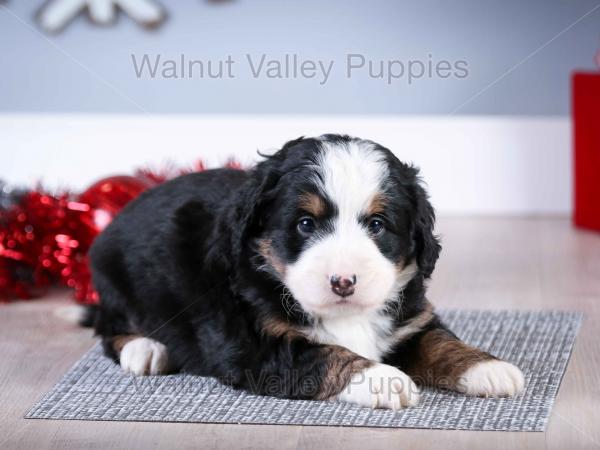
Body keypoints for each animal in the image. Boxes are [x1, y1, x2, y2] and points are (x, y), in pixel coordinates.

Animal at [89, 133, 524, 408]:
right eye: (305, 224)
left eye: (378, 224)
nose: (343, 281)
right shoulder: (256, 344)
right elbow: (325, 354)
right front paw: (383, 379)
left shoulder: (411, 320)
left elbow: (439, 342)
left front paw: (488, 367)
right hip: (115, 282)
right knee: (108, 328)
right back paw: (146, 349)